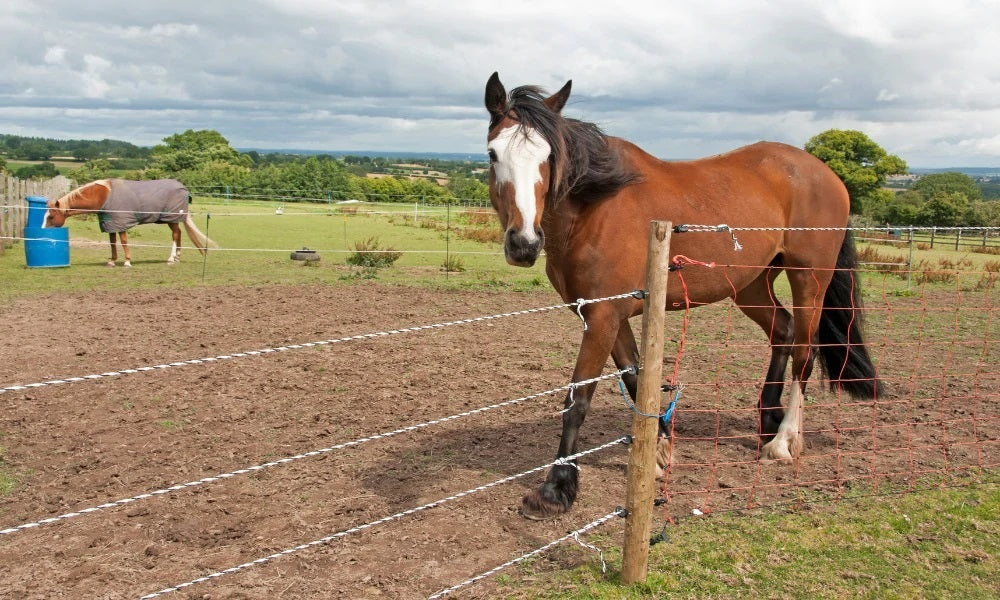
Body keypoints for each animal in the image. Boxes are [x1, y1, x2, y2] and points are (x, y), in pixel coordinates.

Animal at [45, 178, 215, 268]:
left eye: (51, 217)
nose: (43, 230)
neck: (104, 196)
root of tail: (183, 188)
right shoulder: (111, 224)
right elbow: (112, 243)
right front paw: (112, 261)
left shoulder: (121, 223)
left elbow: (124, 242)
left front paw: (127, 261)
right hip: (171, 220)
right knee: (178, 234)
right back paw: (177, 258)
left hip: (171, 219)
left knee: (175, 235)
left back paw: (171, 258)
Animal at [484, 72, 884, 516]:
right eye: (493, 155)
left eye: (549, 157)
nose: (523, 243)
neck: (594, 207)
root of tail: (826, 174)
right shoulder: (607, 315)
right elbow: (638, 378)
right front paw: (659, 454)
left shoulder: (603, 317)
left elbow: (579, 398)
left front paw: (557, 488)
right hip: (751, 284)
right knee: (783, 330)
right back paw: (768, 421)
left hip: (808, 279)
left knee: (804, 351)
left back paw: (783, 441)